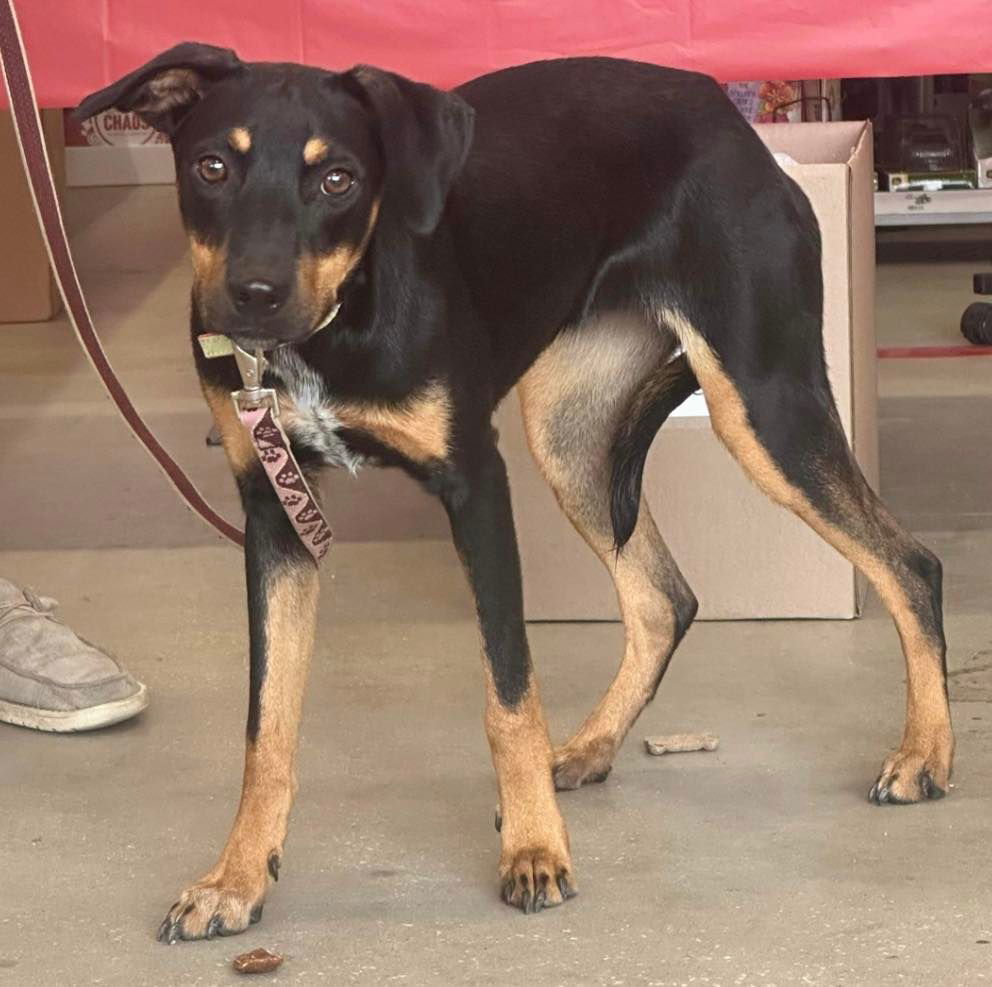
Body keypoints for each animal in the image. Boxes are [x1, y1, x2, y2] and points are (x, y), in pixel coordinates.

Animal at [75, 44, 952, 940]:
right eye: (212, 166)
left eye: (339, 180)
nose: (254, 296)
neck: (336, 322)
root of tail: (726, 115)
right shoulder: (274, 515)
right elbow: (267, 725)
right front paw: (239, 874)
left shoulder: (476, 487)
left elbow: (509, 694)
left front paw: (534, 849)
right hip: (569, 435)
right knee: (663, 598)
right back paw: (592, 745)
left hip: (763, 403)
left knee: (908, 562)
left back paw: (924, 753)